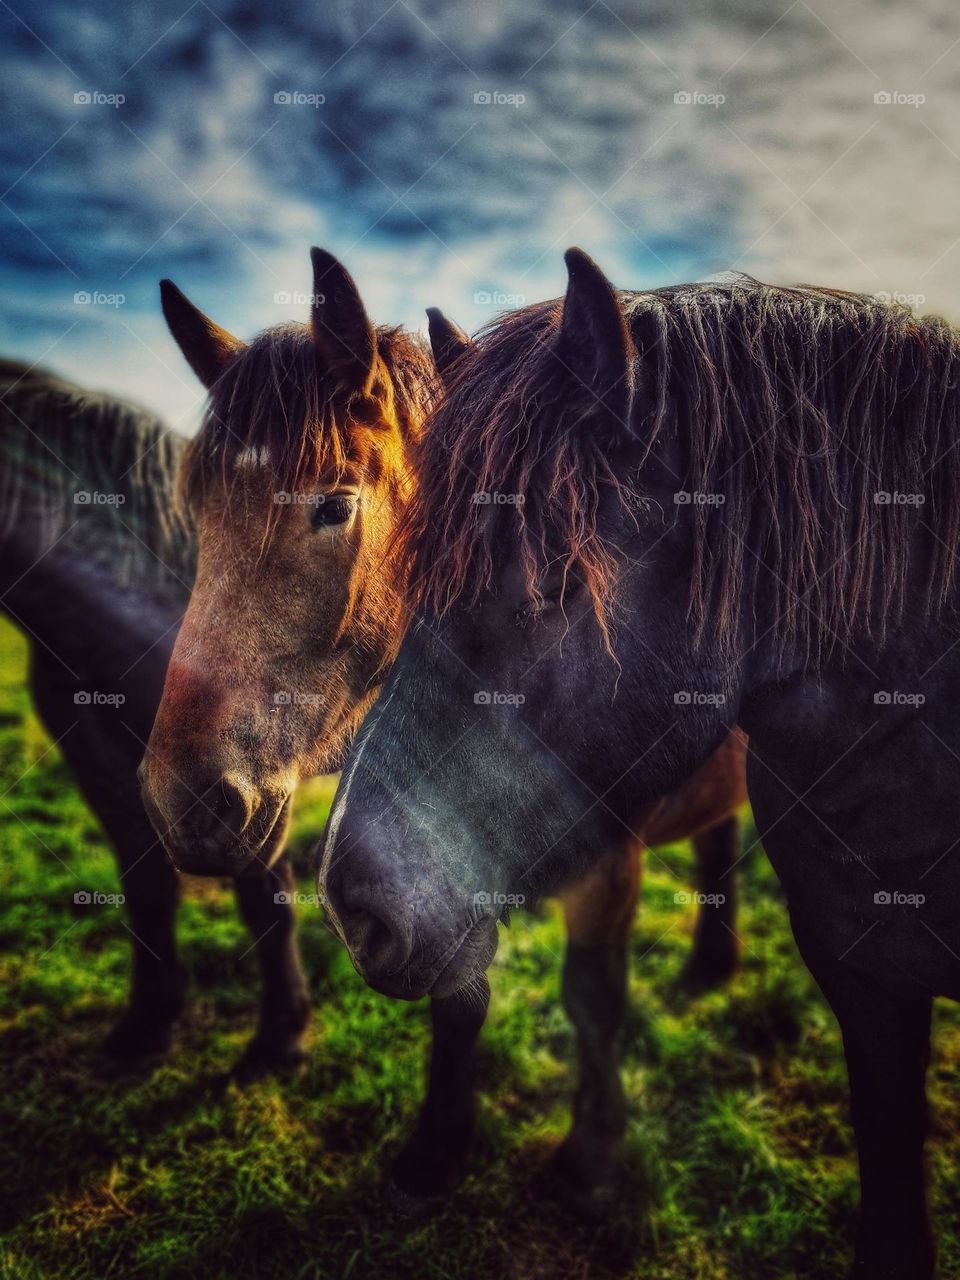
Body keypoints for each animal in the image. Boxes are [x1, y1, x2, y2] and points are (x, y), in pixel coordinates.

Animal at [0, 358, 310, 1074]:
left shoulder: (243, 786)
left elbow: (263, 893)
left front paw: (279, 1038)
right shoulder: (98, 751)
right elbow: (145, 884)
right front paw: (146, 1026)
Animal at [140, 249, 749, 1210]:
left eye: (334, 505)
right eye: (197, 509)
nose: (185, 800)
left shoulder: (605, 863)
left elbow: (593, 997)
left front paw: (590, 1161)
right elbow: (456, 996)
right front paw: (437, 1147)